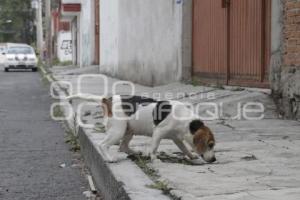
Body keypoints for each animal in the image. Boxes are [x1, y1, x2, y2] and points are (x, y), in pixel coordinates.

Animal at [68, 95, 216, 162]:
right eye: (210, 144)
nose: (214, 160)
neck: (186, 121)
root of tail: (107, 99)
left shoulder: (176, 139)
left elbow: (184, 148)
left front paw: (191, 155)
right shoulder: (158, 132)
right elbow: (154, 147)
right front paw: (154, 158)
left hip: (128, 131)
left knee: (123, 147)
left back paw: (135, 152)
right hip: (118, 131)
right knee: (103, 145)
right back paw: (110, 158)